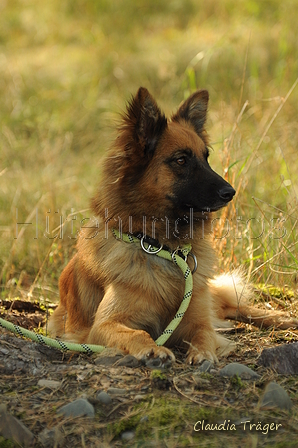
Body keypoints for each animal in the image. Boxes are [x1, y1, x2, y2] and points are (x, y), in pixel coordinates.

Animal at [47, 87, 296, 364]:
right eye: (180, 160)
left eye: (206, 157)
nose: (230, 192)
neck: (162, 247)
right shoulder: (102, 326)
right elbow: (138, 333)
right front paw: (153, 349)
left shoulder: (196, 317)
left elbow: (204, 332)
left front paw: (204, 353)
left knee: (233, 306)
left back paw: (283, 319)